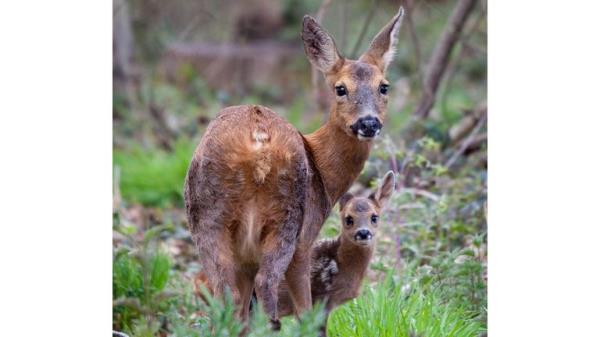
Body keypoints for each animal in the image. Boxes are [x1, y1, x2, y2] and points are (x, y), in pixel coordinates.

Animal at [185, 7, 406, 328]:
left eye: (383, 86)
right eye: (340, 88)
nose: (368, 123)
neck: (323, 170)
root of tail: (257, 141)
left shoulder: (245, 257)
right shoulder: (306, 238)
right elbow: (306, 310)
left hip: (206, 217)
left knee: (226, 294)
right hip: (286, 219)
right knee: (266, 284)